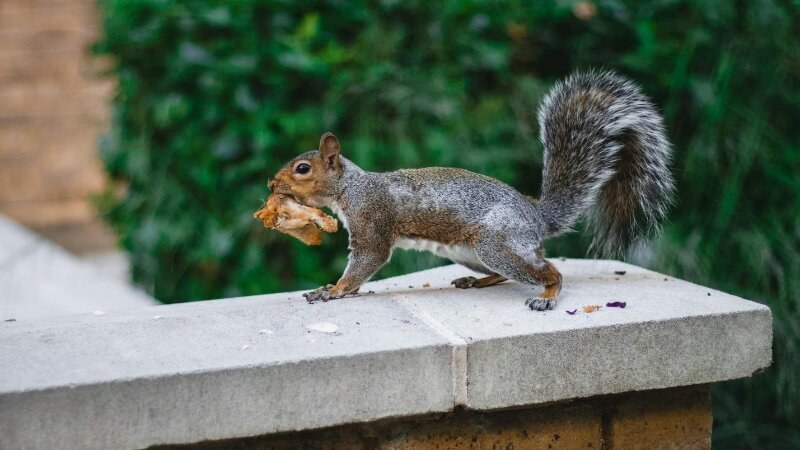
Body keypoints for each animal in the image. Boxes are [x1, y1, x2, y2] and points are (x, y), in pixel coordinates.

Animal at [268, 71, 676, 310]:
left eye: (303, 169)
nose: (272, 185)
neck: (353, 187)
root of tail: (536, 215)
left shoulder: (372, 220)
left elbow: (367, 260)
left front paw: (333, 290)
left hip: (496, 242)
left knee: (550, 271)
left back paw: (546, 294)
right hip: (469, 251)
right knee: (510, 271)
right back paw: (477, 280)